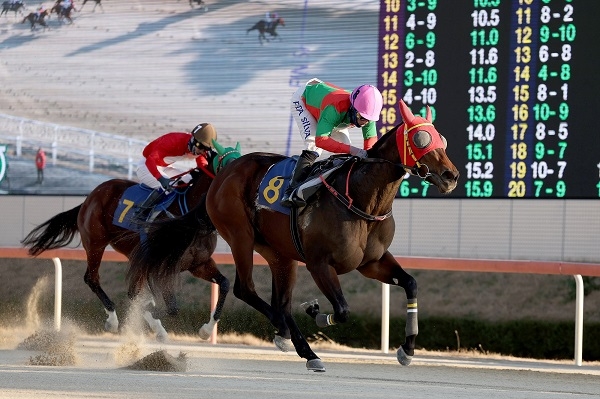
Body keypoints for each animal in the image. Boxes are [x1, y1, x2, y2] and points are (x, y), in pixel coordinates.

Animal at [21, 142, 241, 342]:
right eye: (226, 162)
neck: (191, 220)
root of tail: (89, 197)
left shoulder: (199, 263)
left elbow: (224, 284)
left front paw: (206, 330)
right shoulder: (161, 265)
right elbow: (168, 307)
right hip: (95, 244)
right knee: (93, 278)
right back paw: (113, 321)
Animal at [127, 101, 460, 372]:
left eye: (441, 138)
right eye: (420, 138)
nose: (451, 176)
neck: (362, 199)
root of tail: (222, 175)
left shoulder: (372, 262)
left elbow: (411, 283)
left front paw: (407, 349)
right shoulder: (319, 264)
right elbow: (342, 311)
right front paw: (316, 312)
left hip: (279, 253)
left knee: (281, 302)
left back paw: (295, 342)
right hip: (240, 237)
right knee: (246, 289)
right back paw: (292, 339)